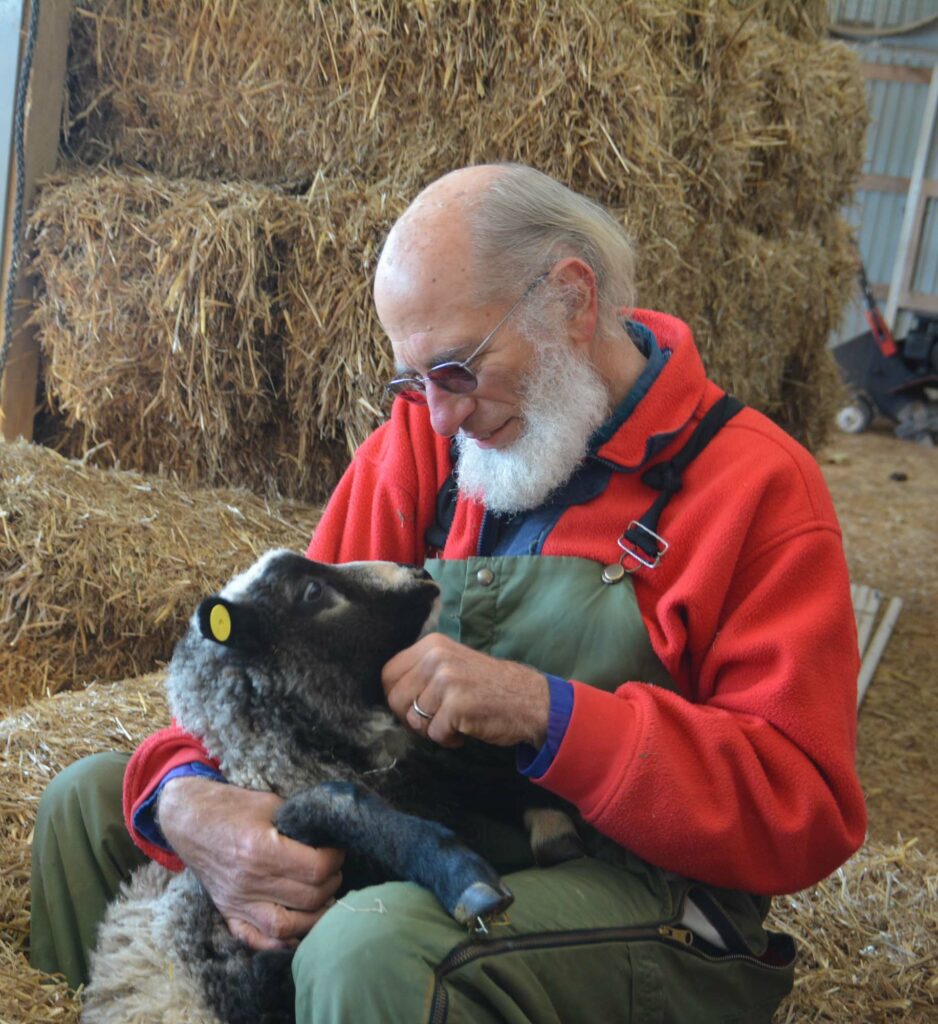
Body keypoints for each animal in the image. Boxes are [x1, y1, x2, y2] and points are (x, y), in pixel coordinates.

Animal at [84, 552, 581, 1024]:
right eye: (311, 592)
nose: (421, 574)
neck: (276, 768)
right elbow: (344, 802)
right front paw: (467, 881)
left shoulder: (423, 775)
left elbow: (483, 775)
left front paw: (553, 824)